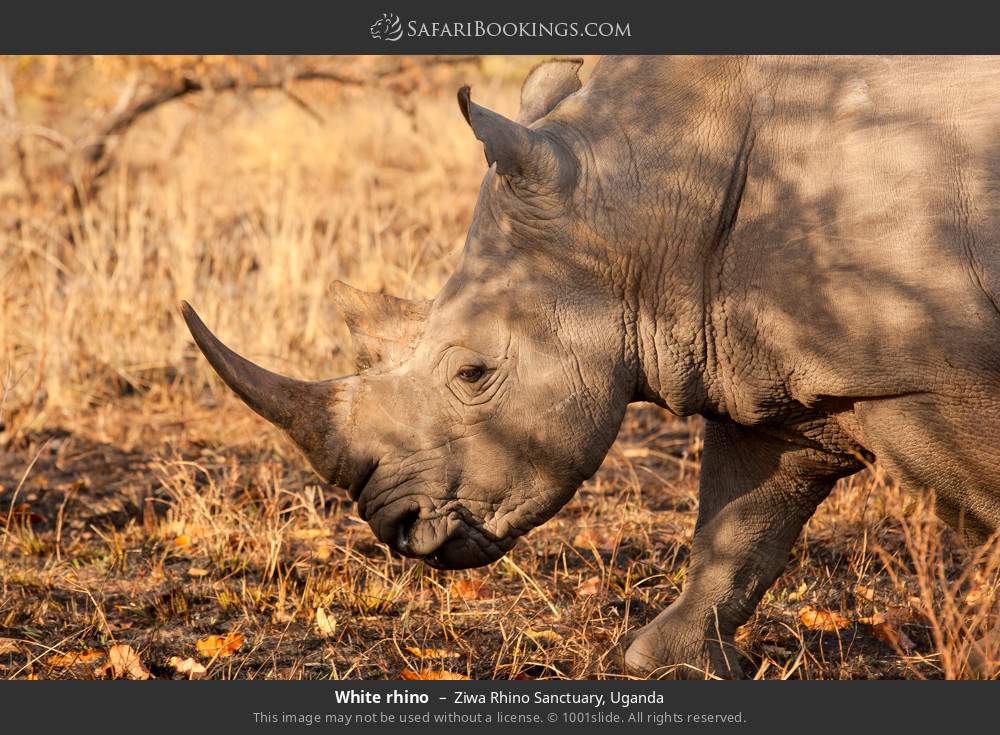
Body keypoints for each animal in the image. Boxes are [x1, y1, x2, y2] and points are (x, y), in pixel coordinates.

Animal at [184, 56, 1000, 680]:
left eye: (473, 374)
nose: (396, 528)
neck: (646, 201)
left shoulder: (932, 372)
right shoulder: (771, 362)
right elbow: (742, 521)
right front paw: (665, 662)